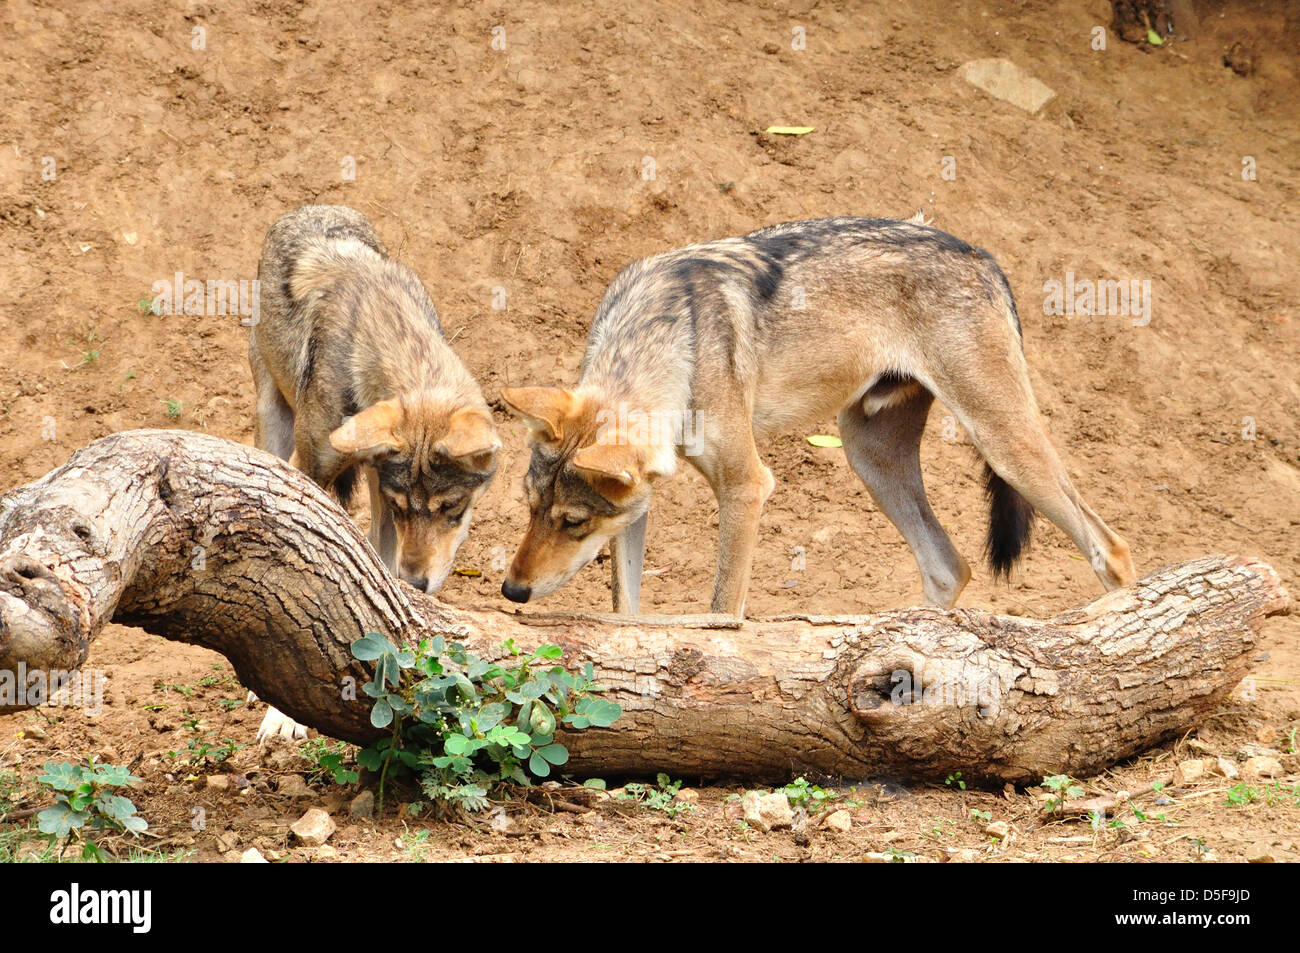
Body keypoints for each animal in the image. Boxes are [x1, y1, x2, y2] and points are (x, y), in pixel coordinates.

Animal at [250, 204, 499, 738]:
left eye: (451, 508)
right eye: (410, 509)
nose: (418, 584)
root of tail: (308, 208)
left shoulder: (384, 498)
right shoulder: (320, 475)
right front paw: (284, 716)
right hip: (273, 425)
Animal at [499, 217, 1138, 616]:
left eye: (573, 522)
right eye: (530, 510)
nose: (511, 591)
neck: (669, 340)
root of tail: (984, 258)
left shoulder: (747, 486)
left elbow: (721, 611)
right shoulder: (640, 505)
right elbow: (625, 613)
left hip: (1005, 448)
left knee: (1113, 550)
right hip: (870, 459)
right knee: (949, 567)